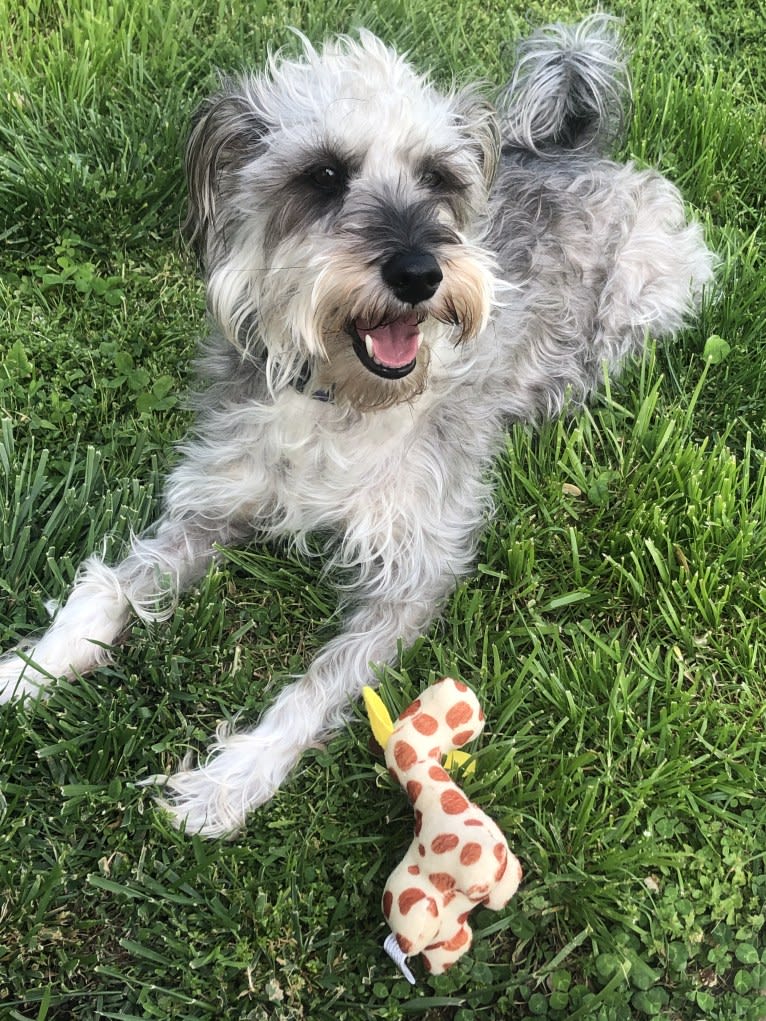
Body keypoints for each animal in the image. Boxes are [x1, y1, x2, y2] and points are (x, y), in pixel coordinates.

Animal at [0, 17, 719, 837]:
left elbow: (316, 686)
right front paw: (24, 673)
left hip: (639, 304)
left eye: (439, 178)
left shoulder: (416, 571)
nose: (419, 273)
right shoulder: (210, 503)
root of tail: (579, 151)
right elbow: (107, 591)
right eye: (322, 175)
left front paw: (230, 781)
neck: (342, 403)